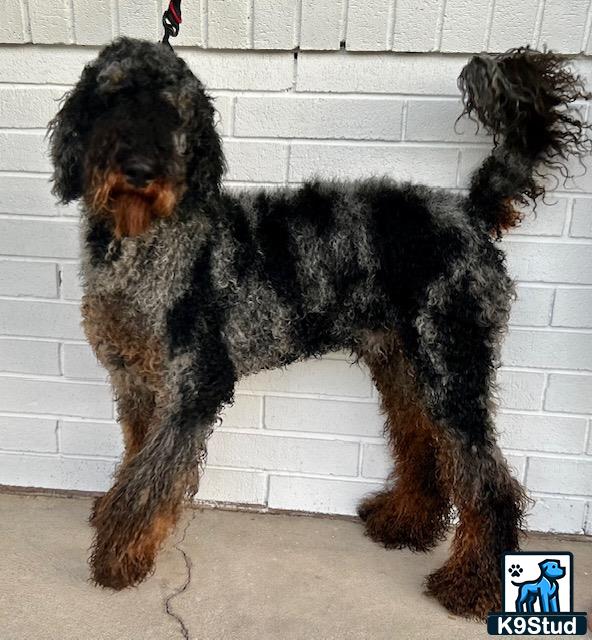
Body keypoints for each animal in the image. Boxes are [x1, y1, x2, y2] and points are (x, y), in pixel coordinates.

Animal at [48, 40, 588, 620]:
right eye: (112, 98)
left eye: (174, 110)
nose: (140, 169)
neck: (145, 246)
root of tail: (468, 211)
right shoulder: (136, 384)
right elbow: (135, 461)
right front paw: (114, 519)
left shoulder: (194, 384)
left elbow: (149, 480)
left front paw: (118, 557)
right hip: (403, 365)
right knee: (424, 446)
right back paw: (405, 524)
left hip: (451, 365)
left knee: (488, 480)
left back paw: (472, 585)